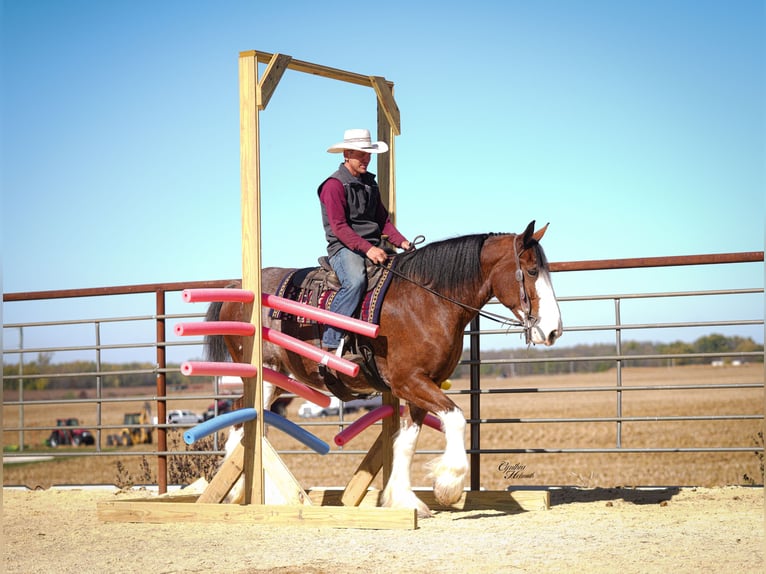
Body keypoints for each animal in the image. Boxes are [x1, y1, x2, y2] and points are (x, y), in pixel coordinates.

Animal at [204, 220, 562, 517]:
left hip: (276, 382)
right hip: (263, 376)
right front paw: (448, 485)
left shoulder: (424, 385)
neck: (427, 300)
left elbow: (406, 442)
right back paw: (236, 492)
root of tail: (238, 287)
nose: (554, 330)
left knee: (245, 422)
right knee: (244, 426)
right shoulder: (409, 381)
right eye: (532, 271)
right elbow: (457, 419)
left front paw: (405, 499)